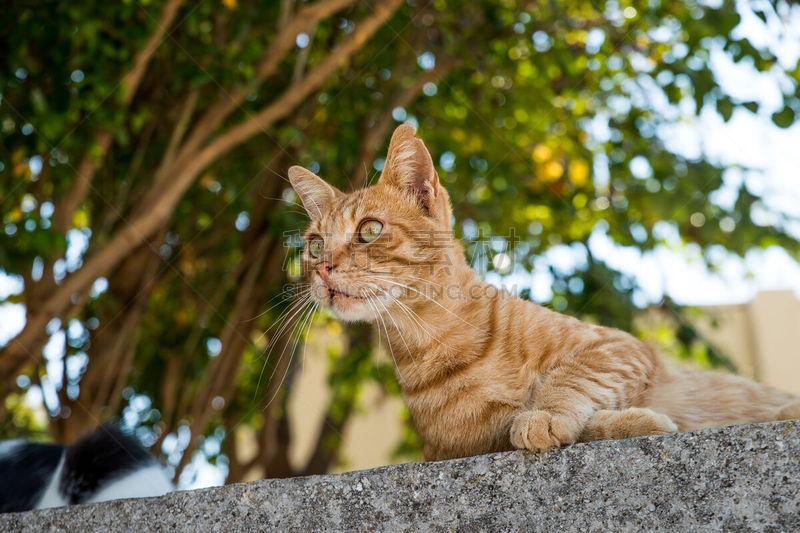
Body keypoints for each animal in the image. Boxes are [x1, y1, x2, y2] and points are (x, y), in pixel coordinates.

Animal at [288, 122, 800, 460]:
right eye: (314, 244)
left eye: (370, 230)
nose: (323, 269)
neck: (436, 337)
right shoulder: (464, 443)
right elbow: (522, 428)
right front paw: (629, 422)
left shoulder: (618, 346)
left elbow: (570, 378)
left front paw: (548, 412)